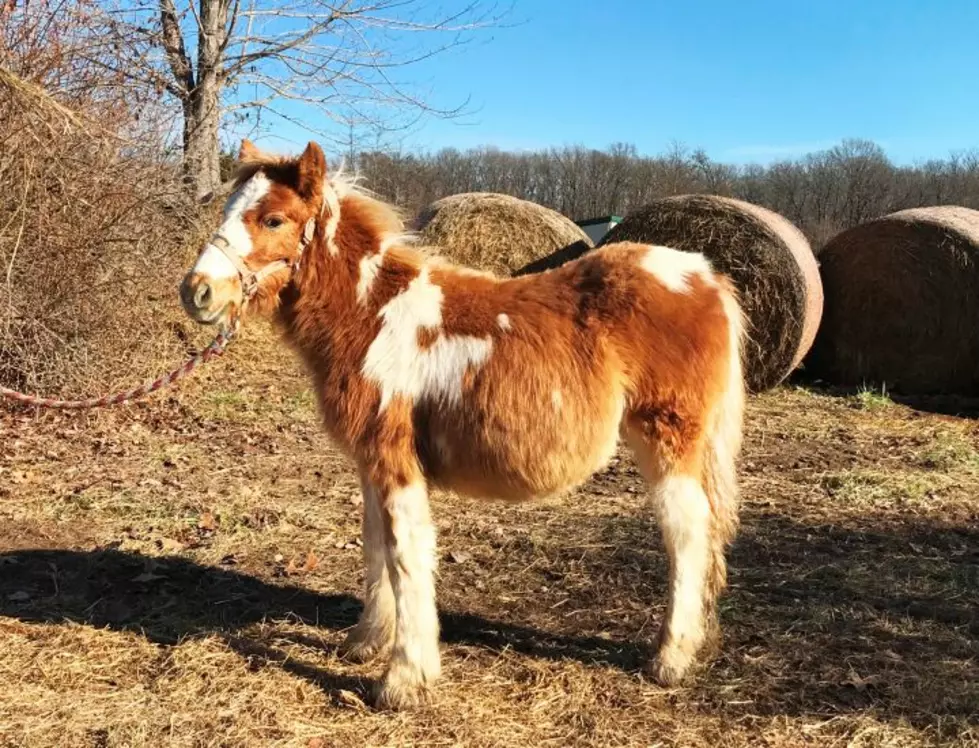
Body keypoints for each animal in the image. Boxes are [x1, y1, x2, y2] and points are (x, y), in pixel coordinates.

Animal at [180, 142, 748, 712]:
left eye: (273, 219)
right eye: (228, 209)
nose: (197, 292)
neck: (374, 317)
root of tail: (707, 277)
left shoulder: (396, 460)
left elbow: (406, 553)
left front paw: (404, 680)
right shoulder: (370, 462)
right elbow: (375, 542)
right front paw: (367, 640)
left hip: (668, 437)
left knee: (687, 532)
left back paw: (671, 658)